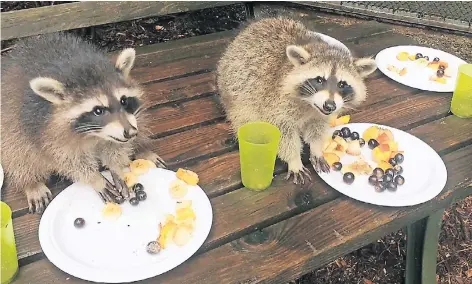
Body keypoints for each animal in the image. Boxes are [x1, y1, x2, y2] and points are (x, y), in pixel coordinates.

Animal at [0, 32, 166, 213]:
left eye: (123, 101)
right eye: (98, 110)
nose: (130, 132)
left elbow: (116, 146)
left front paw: (116, 166)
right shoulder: (44, 130)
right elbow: (68, 161)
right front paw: (95, 178)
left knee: (141, 123)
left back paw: (142, 148)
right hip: (9, 123)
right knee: (18, 153)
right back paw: (31, 183)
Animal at [217, 18, 376, 185]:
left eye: (342, 84)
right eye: (319, 80)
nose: (329, 105)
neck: (310, 104)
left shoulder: (320, 114)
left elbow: (317, 128)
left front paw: (316, 148)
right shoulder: (276, 103)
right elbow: (283, 134)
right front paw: (294, 160)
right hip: (236, 92)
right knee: (243, 115)